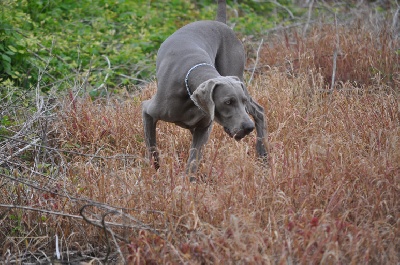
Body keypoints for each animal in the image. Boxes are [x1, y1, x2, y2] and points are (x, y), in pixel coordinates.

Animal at [142, 0, 268, 177]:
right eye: (228, 102)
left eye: (241, 101)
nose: (248, 127)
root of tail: (220, 23)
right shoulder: (148, 111)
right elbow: (152, 146)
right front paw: (156, 172)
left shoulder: (204, 127)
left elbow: (193, 160)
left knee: (259, 111)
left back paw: (262, 155)